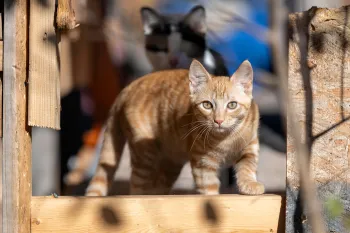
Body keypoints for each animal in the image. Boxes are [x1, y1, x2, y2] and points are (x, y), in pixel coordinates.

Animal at [86, 59, 264, 196]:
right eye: (207, 105)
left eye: (232, 105)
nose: (218, 120)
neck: (226, 139)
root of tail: (130, 85)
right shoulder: (202, 163)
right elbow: (209, 189)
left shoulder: (251, 145)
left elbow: (248, 166)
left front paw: (249, 184)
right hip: (144, 156)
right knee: (137, 187)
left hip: (171, 163)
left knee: (158, 186)